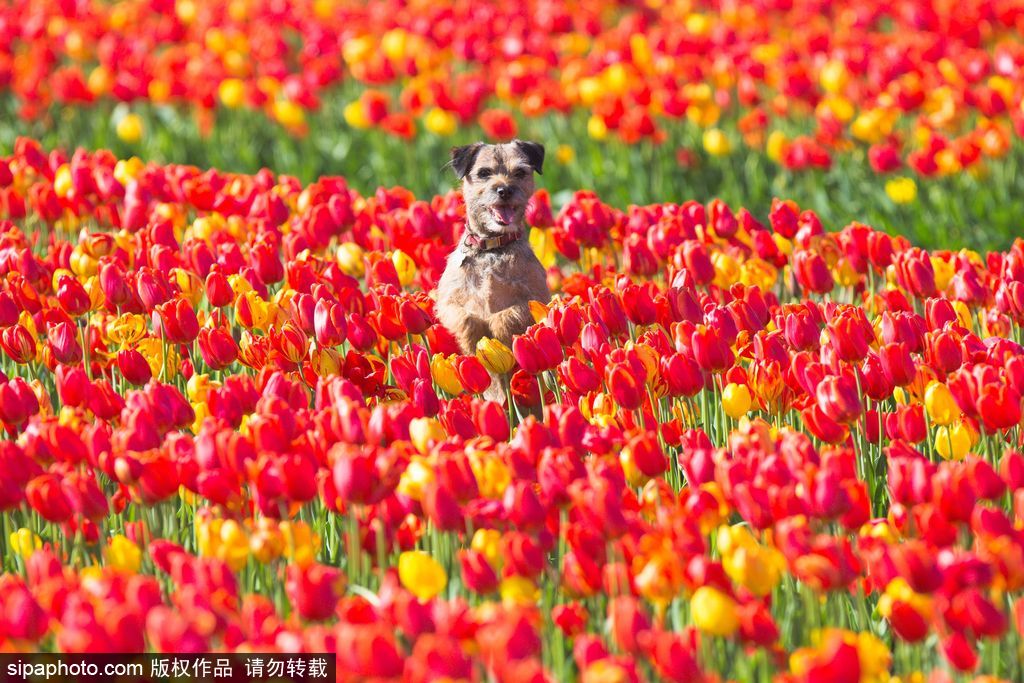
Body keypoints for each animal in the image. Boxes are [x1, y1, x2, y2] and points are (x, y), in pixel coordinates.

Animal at [438, 139, 557, 370]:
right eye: (484, 173)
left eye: (519, 172)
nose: (505, 190)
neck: (492, 249)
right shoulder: (446, 302)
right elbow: (465, 317)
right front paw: (473, 339)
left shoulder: (536, 299)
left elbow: (507, 313)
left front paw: (497, 330)